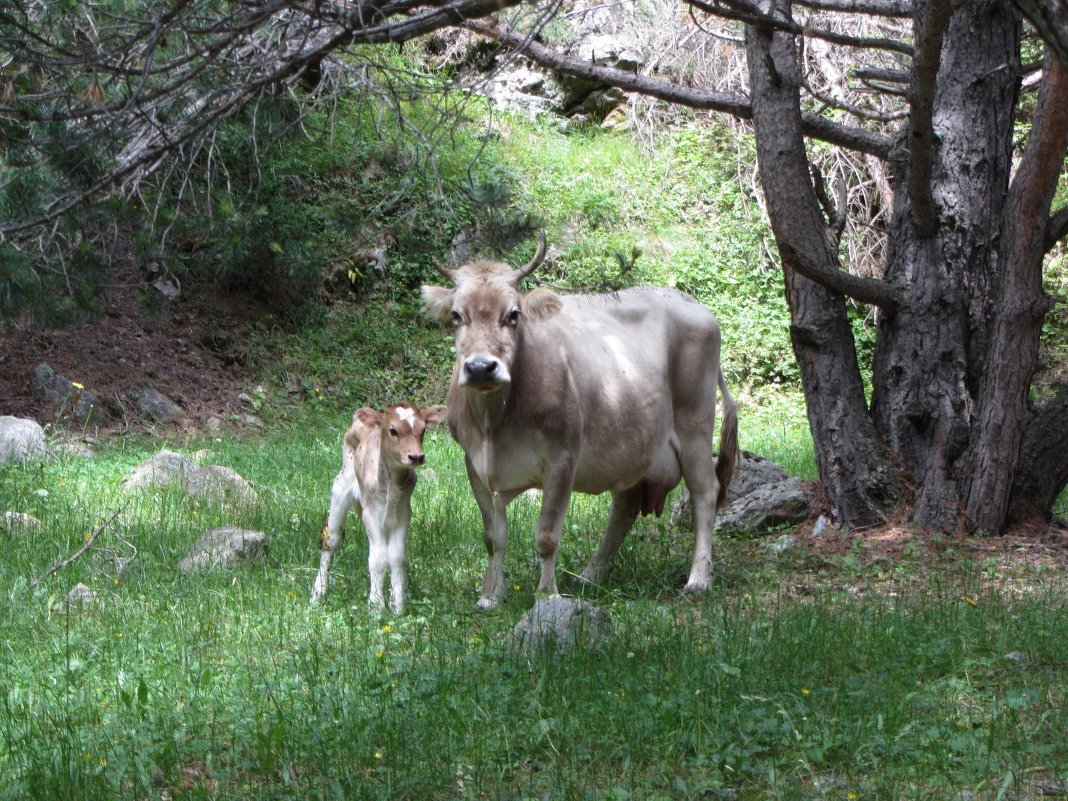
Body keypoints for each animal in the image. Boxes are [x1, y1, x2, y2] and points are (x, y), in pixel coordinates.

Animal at [309, 403, 446, 610]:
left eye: (423, 430)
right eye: (393, 430)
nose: (416, 456)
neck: (392, 484)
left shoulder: (404, 512)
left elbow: (397, 557)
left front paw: (398, 605)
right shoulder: (371, 514)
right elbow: (379, 558)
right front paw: (376, 605)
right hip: (340, 488)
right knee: (330, 540)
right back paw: (318, 591)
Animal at [420, 234, 739, 610]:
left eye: (513, 315)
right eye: (457, 315)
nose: (481, 367)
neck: (494, 426)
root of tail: (688, 301)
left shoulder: (563, 458)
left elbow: (546, 535)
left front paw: (546, 594)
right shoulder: (474, 462)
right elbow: (493, 537)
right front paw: (491, 595)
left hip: (695, 424)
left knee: (705, 493)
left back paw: (698, 578)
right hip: (634, 444)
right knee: (626, 505)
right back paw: (591, 575)